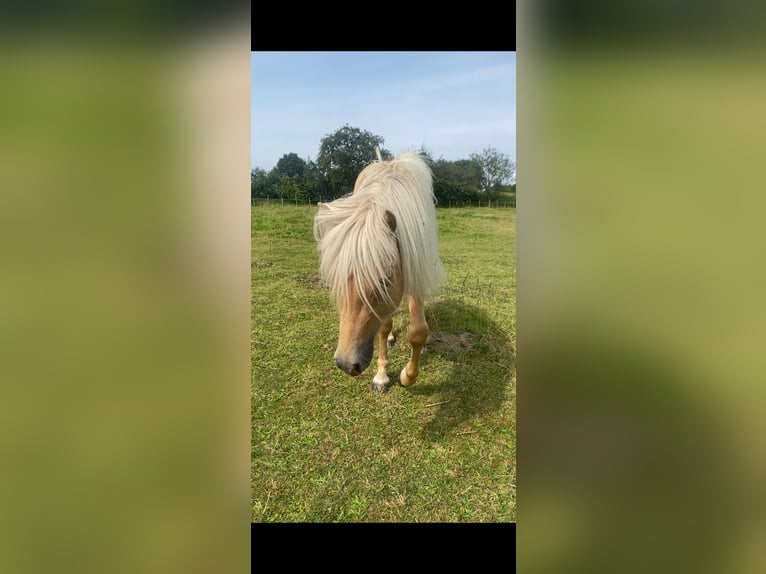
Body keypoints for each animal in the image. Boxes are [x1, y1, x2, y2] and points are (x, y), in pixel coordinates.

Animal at [314, 151, 446, 392]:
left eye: (383, 282)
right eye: (334, 282)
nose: (346, 364)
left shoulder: (414, 270)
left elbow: (418, 331)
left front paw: (407, 377)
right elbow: (383, 329)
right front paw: (382, 375)